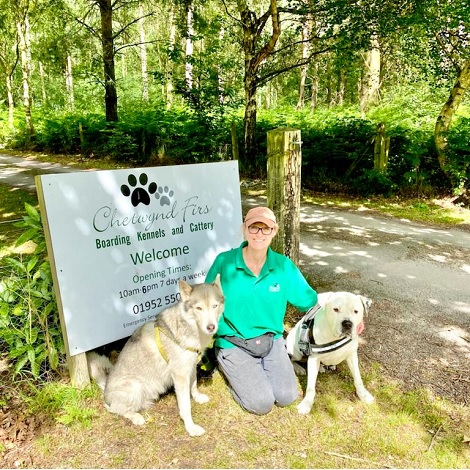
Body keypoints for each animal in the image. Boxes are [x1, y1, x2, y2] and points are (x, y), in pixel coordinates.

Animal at [87, 278, 224, 436]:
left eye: (214, 306)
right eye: (199, 308)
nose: (211, 327)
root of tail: (106, 389)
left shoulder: (190, 367)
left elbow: (194, 385)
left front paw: (198, 398)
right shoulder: (180, 375)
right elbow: (185, 406)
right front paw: (190, 427)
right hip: (135, 386)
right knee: (114, 408)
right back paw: (136, 417)